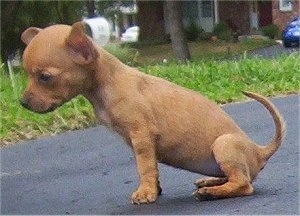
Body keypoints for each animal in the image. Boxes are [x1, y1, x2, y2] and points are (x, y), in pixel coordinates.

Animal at [19, 22, 284, 204]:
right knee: (238, 177)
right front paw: (153, 189)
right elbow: (149, 166)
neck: (107, 83)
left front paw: (145, 192)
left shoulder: (142, 136)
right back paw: (211, 181)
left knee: (243, 184)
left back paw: (211, 192)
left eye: (44, 77)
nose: (22, 102)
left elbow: (144, 167)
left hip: (224, 144)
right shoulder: (139, 142)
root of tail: (259, 151)